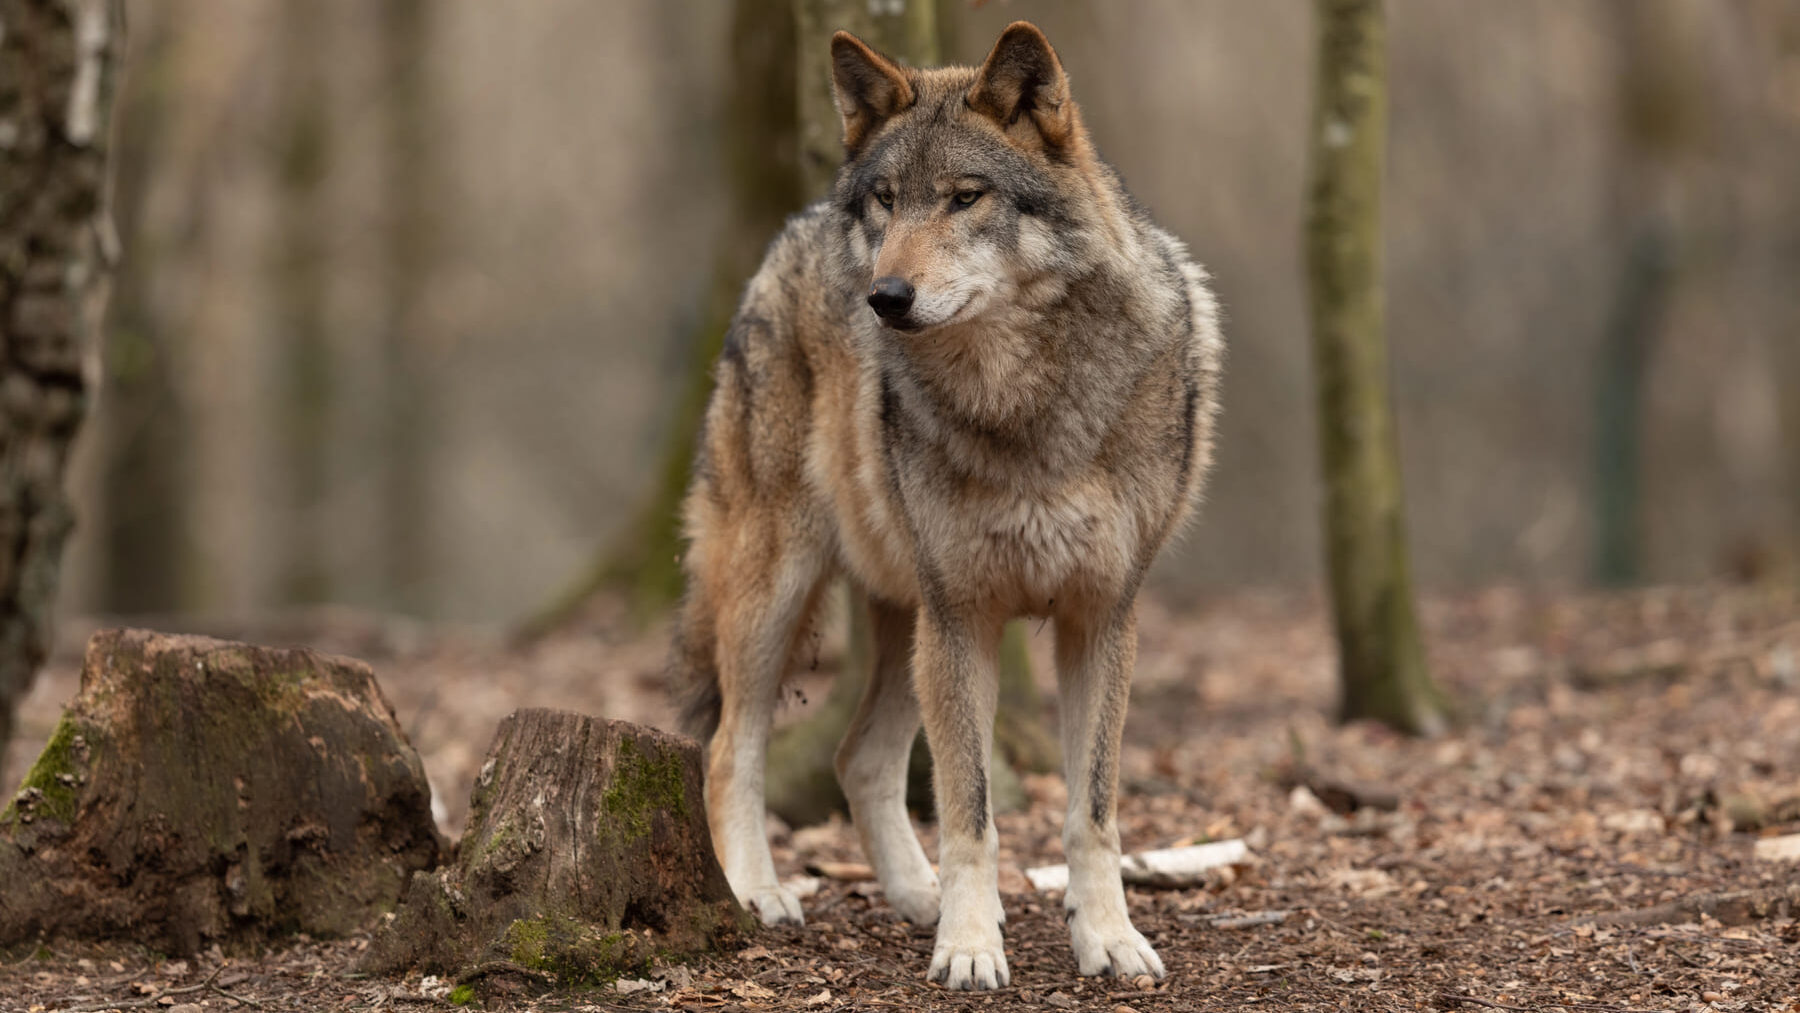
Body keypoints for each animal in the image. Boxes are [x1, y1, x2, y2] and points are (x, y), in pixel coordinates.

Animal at [673, 19, 1224, 993]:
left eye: (967, 198)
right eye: (889, 202)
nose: (884, 297)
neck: (1024, 402)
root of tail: (796, 227)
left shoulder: (1102, 617)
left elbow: (1092, 810)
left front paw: (1107, 938)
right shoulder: (965, 615)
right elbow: (971, 811)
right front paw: (970, 947)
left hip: (905, 618)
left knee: (857, 756)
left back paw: (913, 895)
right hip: (787, 594)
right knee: (729, 748)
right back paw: (757, 894)